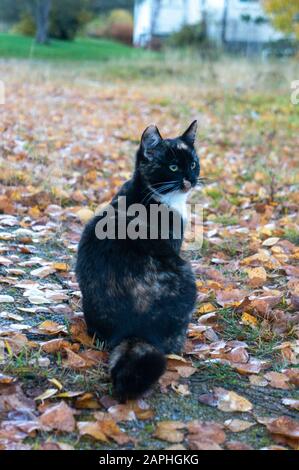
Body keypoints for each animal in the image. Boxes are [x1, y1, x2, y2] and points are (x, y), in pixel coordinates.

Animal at [76, 120, 200, 400]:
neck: (148, 192)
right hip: (187, 275)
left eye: (194, 163)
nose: (190, 180)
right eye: (173, 167)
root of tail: (135, 330)